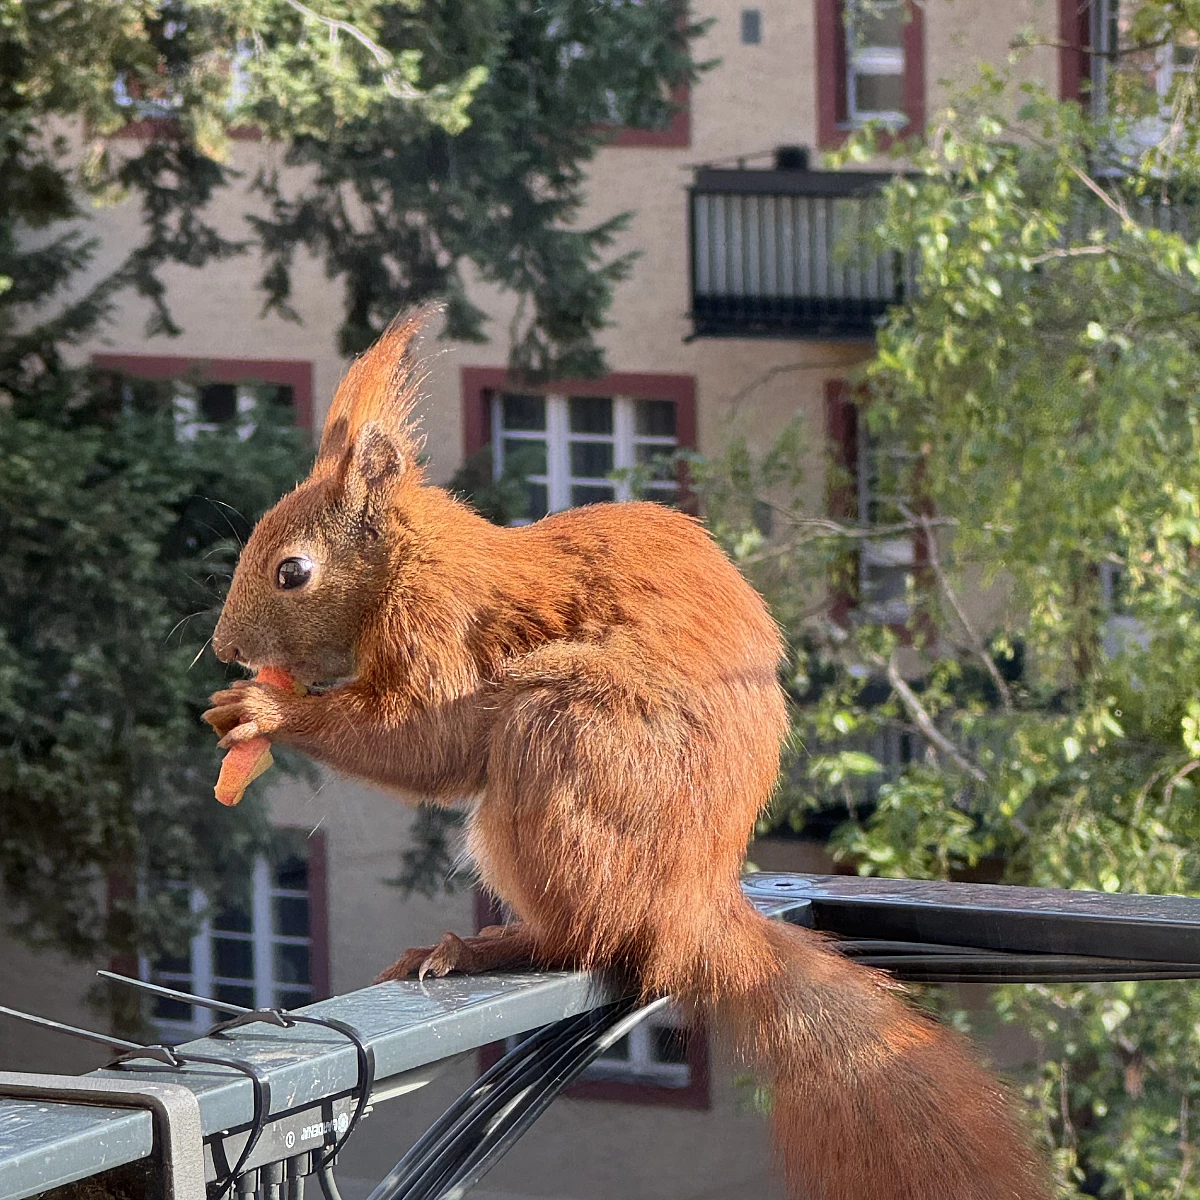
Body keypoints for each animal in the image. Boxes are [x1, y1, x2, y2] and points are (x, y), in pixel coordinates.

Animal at [206, 314, 1051, 1200]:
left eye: (292, 572)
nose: (226, 646)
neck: (409, 564)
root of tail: (691, 911)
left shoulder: (439, 628)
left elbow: (424, 742)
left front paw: (266, 710)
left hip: (564, 738)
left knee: (589, 941)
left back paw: (482, 947)